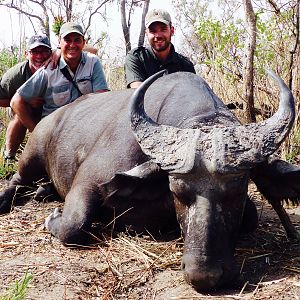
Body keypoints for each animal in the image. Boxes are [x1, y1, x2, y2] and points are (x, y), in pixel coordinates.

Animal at [0, 70, 300, 290]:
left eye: (236, 192)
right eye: (177, 192)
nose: (204, 274)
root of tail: (53, 117)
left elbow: (251, 216)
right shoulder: (87, 184)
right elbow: (73, 226)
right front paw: (53, 217)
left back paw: (43, 191)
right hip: (33, 155)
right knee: (17, 179)